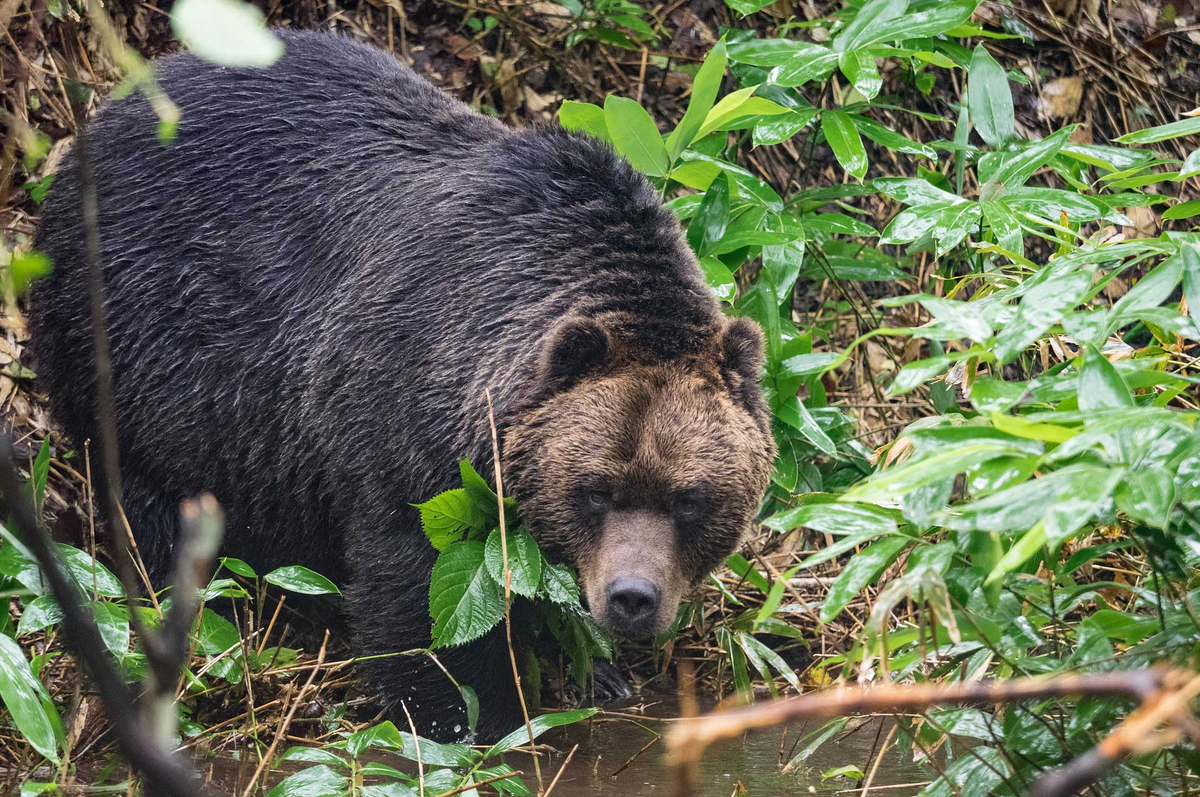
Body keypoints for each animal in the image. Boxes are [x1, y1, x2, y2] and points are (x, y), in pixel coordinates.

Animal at [32, 31, 777, 739]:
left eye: (689, 498)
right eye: (596, 489)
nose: (632, 597)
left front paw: (596, 671)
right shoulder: (402, 415)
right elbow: (416, 596)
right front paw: (471, 714)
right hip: (140, 346)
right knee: (155, 499)